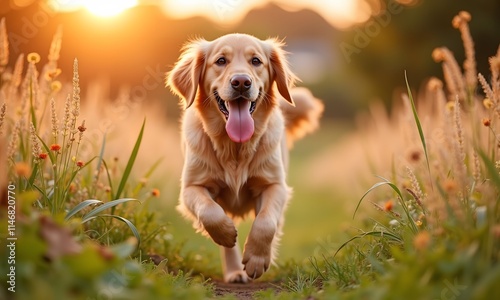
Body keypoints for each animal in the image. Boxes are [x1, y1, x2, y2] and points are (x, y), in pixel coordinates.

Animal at [166, 34, 324, 282]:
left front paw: (257, 260)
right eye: (221, 61)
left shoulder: (275, 185)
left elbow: (266, 222)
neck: (235, 148)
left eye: (256, 61)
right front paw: (225, 234)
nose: (241, 82)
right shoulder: (192, 187)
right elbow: (210, 212)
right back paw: (234, 271)